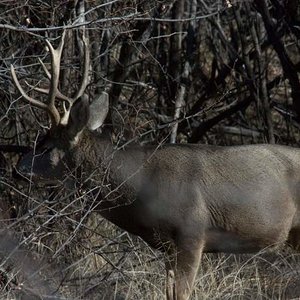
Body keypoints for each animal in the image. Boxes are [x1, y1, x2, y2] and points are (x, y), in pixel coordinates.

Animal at [11, 31, 300, 298]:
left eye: (46, 146)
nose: (17, 170)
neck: (142, 186)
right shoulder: (167, 246)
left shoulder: (191, 233)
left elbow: (182, 294)